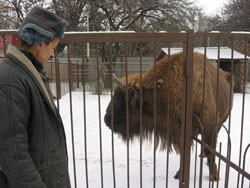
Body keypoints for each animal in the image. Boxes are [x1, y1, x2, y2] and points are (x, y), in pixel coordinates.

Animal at [103, 51, 234, 181]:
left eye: (118, 100)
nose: (106, 119)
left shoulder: (210, 128)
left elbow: (210, 151)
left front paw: (214, 176)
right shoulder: (181, 133)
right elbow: (184, 153)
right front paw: (179, 175)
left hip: (221, 122)